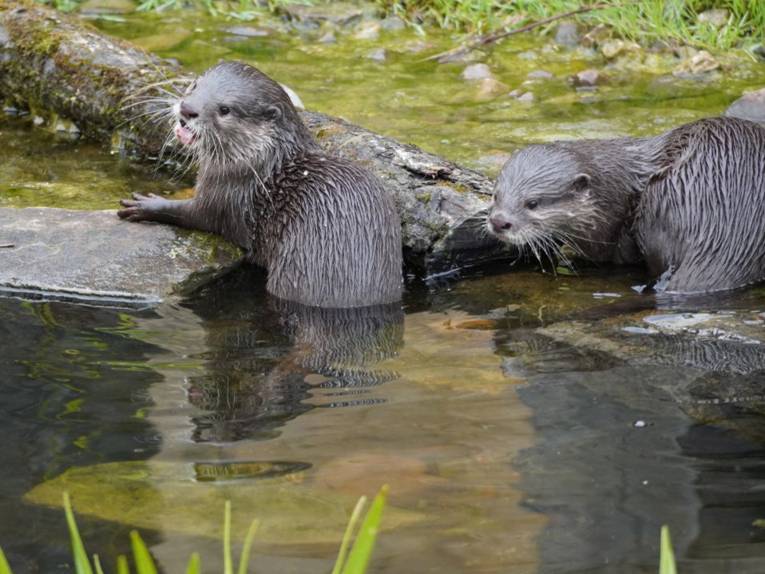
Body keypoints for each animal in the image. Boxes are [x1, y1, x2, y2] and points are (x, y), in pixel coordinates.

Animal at [118, 61, 402, 308]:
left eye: (225, 109)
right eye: (195, 85)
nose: (188, 108)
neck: (261, 163)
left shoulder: (227, 193)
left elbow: (196, 215)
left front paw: (146, 204)